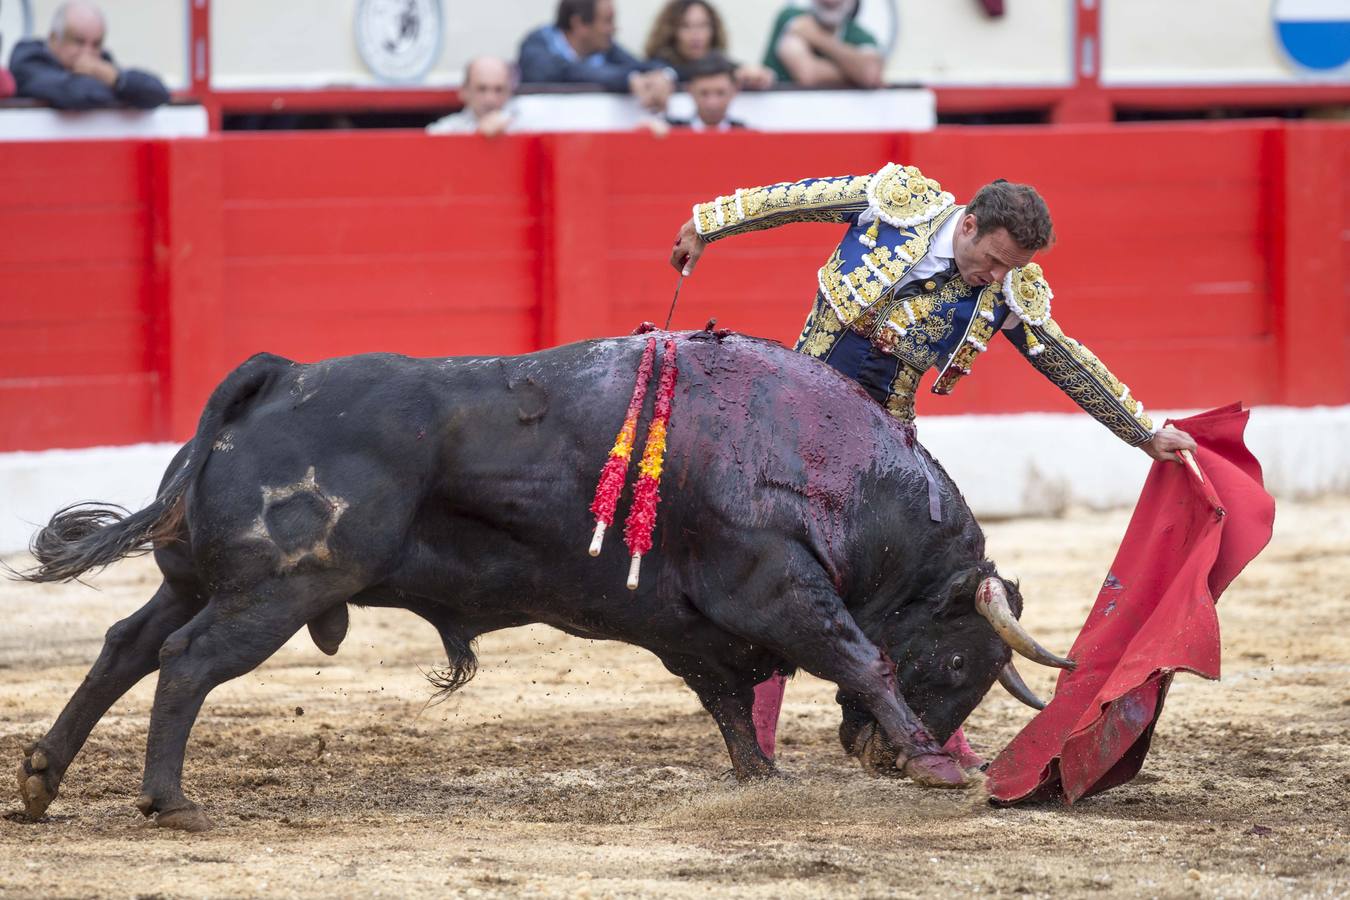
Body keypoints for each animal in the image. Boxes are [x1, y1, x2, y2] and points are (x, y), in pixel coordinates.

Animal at [7, 330, 1063, 831]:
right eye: (960, 661)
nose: (877, 759)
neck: (828, 462)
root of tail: (281, 375)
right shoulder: (778, 590)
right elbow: (859, 657)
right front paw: (933, 763)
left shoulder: (694, 632)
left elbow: (731, 705)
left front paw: (765, 779)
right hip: (276, 591)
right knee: (185, 663)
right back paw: (170, 801)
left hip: (197, 579)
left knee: (126, 647)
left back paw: (43, 778)